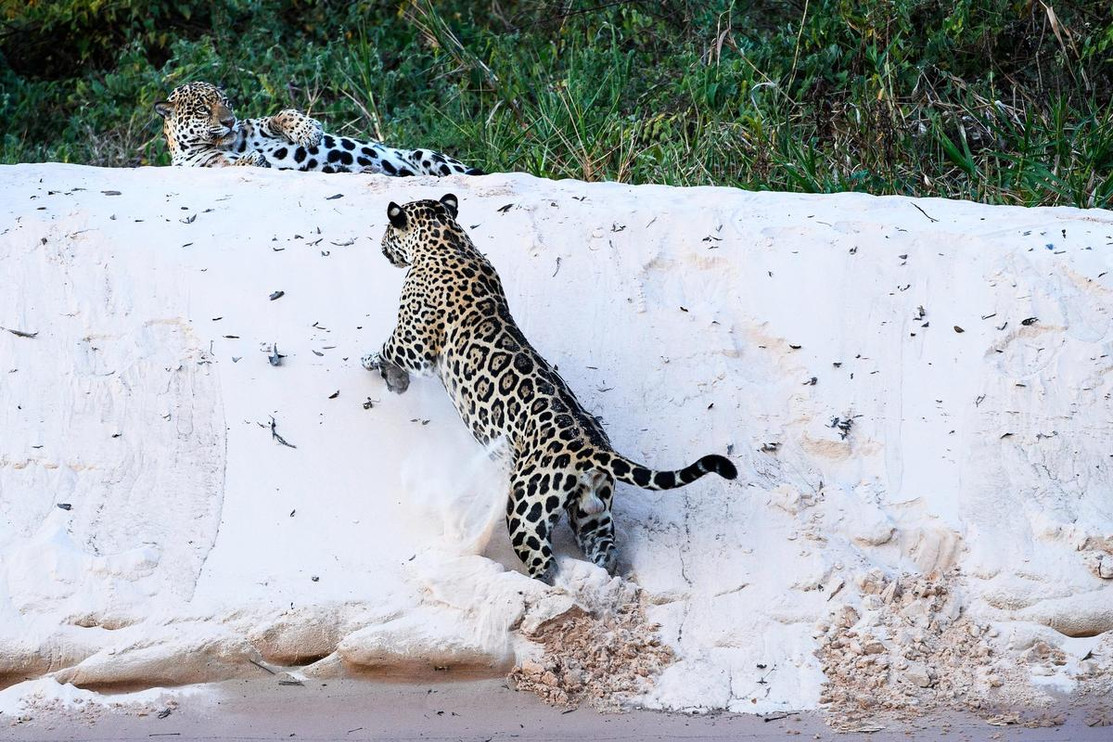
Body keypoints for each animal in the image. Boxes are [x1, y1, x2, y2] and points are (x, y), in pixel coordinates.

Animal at [154, 81, 483, 176]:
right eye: (201, 109)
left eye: (226, 103)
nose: (229, 121)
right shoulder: (204, 165)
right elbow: (230, 163)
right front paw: (254, 159)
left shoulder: (258, 126)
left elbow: (281, 114)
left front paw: (308, 129)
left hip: (426, 155)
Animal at [361, 194, 737, 583]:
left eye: (387, 230)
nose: (380, 247)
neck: (447, 239)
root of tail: (592, 449)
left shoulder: (413, 342)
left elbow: (388, 350)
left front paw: (383, 372)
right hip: (593, 513)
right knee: (604, 553)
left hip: (526, 508)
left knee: (545, 564)